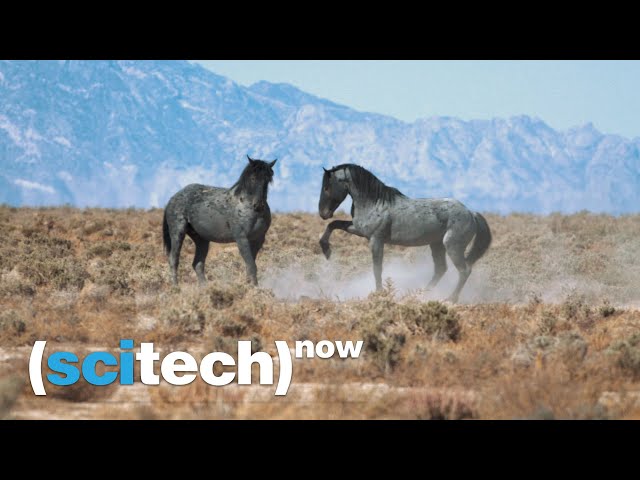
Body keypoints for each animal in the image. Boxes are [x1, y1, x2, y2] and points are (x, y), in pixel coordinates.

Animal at [163, 156, 276, 286]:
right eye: (253, 178)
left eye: (268, 179)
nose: (258, 205)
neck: (245, 205)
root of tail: (173, 198)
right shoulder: (242, 239)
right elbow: (251, 265)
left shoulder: (258, 240)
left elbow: (250, 265)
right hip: (178, 233)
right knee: (174, 260)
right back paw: (176, 287)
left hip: (201, 240)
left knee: (197, 264)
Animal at [318, 164, 492, 302]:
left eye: (327, 187)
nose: (323, 213)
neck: (374, 201)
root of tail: (471, 213)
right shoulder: (359, 230)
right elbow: (334, 224)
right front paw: (326, 250)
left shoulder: (376, 239)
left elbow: (377, 268)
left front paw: (380, 293)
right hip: (437, 245)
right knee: (441, 269)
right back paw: (421, 295)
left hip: (452, 246)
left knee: (464, 270)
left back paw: (450, 299)